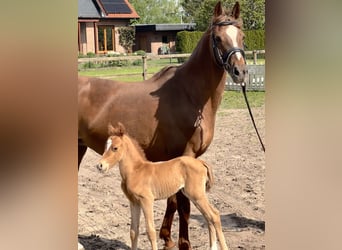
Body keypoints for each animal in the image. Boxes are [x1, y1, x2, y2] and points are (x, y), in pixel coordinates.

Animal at [96, 123, 230, 250]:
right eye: (105, 146)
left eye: (115, 148)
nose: (100, 166)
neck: (136, 171)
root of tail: (200, 162)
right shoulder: (134, 202)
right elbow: (134, 232)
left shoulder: (147, 201)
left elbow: (150, 232)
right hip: (194, 196)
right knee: (208, 217)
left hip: (196, 195)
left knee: (214, 215)